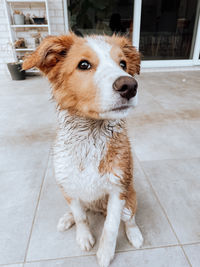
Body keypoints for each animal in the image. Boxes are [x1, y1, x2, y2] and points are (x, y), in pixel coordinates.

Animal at [22, 33, 143, 267]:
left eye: (123, 64)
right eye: (84, 65)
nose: (130, 85)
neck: (90, 138)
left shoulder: (118, 190)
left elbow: (111, 226)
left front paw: (105, 253)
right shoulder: (68, 185)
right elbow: (80, 217)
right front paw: (84, 236)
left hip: (130, 198)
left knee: (129, 218)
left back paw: (134, 234)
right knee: (81, 210)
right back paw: (67, 218)